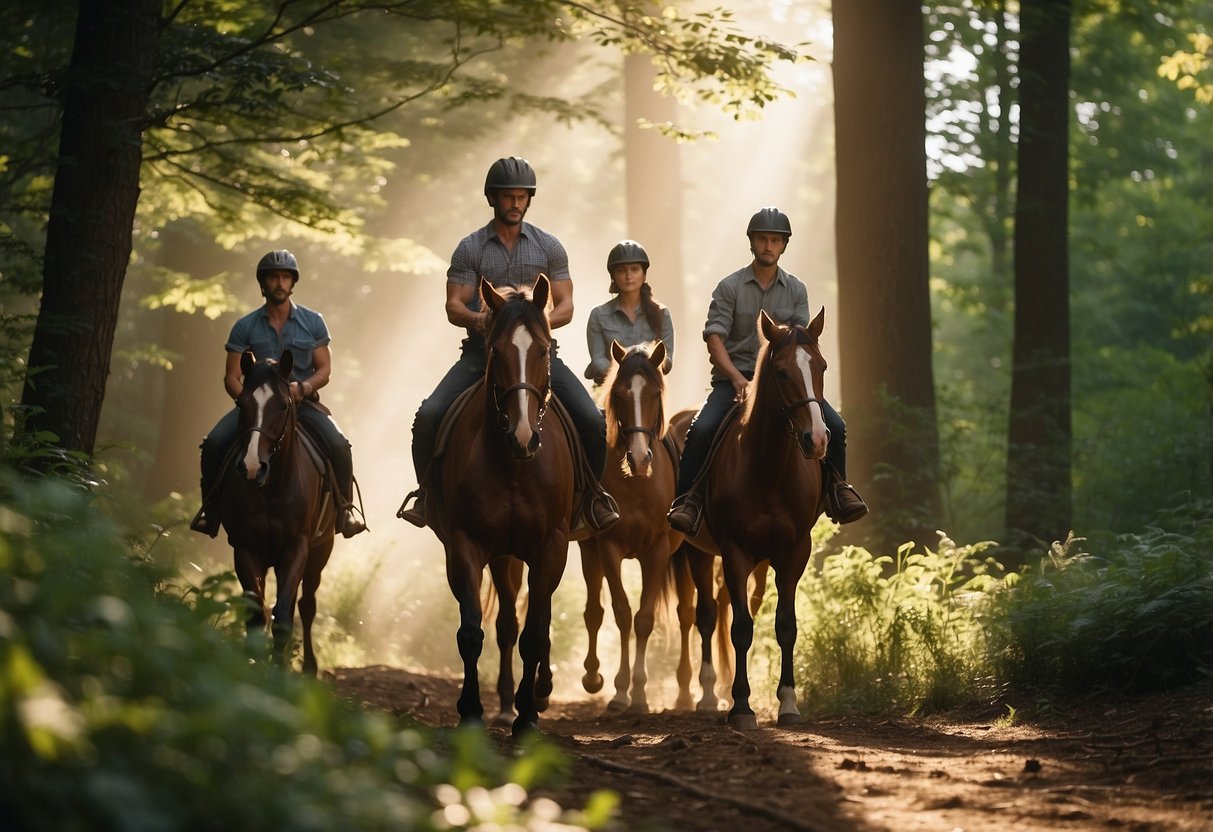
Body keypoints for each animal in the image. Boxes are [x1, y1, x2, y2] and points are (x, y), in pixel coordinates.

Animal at [219, 351, 334, 679]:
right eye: (241, 404)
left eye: (283, 404)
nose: (252, 467)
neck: (272, 489)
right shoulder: (245, 548)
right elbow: (257, 616)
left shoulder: (297, 548)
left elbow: (283, 618)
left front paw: (277, 672)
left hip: (321, 550)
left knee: (306, 606)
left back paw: (309, 668)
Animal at [429, 275, 574, 737]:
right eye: (496, 351)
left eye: (543, 350)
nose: (524, 436)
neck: (513, 465)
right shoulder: (466, 546)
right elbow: (472, 633)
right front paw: (471, 710)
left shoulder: (551, 547)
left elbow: (535, 635)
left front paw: (528, 717)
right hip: (502, 556)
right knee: (507, 621)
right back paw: (507, 701)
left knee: (534, 622)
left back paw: (536, 696)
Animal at [579, 342, 693, 713]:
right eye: (620, 395)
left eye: (655, 394)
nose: (640, 459)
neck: (639, 484)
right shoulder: (608, 547)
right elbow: (622, 613)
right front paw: (618, 691)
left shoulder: (656, 551)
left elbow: (644, 618)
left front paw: (640, 694)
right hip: (589, 550)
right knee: (593, 611)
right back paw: (592, 676)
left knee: (687, 615)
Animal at [684, 308, 834, 727]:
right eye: (781, 372)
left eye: (822, 366)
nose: (817, 439)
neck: (769, 469)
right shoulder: (734, 552)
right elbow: (740, 629)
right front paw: (741, 706)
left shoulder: (794, 552)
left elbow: (785, 625)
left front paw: (789, 703)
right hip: (698, 552)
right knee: (707, 616)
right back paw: (708, 696)